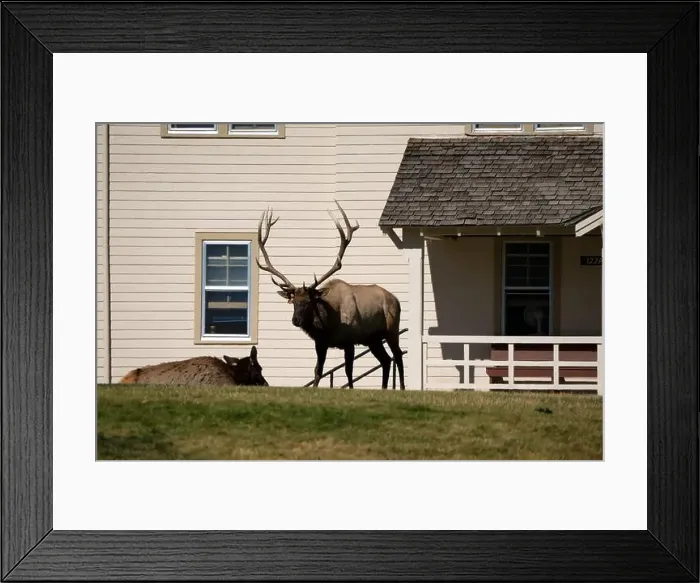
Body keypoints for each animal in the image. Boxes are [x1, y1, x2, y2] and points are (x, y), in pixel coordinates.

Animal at [256, 200, 405, 390]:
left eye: (309, 302)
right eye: (294, 302)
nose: (295, 320)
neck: (329, 325)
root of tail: (396, 300)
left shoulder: (350, 340)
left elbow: (348, 372)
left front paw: (350, 389)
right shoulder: (321, 343)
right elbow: (317, 371)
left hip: (392, 328)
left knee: (398, 355)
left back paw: (402, 387)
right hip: (373, 339)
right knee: (385, 360)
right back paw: (384, 388)